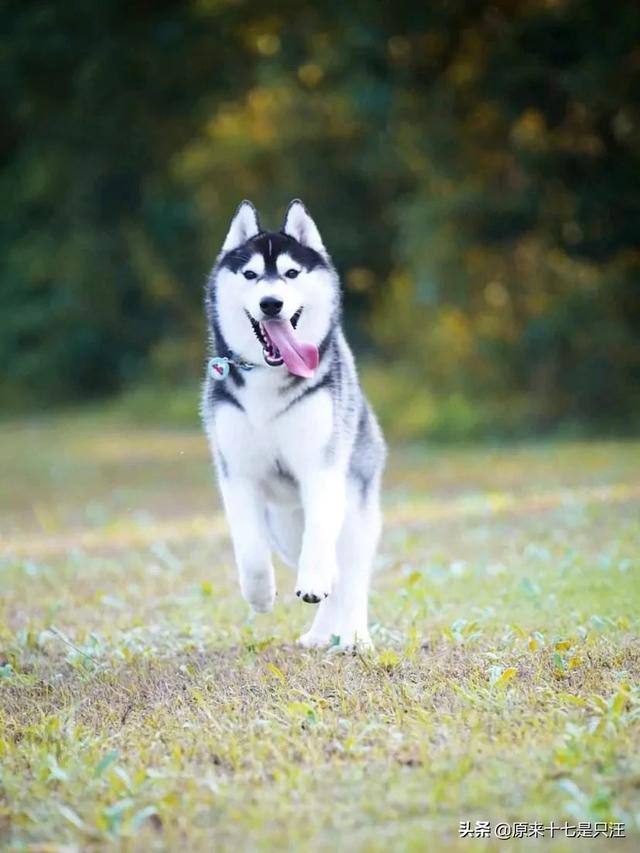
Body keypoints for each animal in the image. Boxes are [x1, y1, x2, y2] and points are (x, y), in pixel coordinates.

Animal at [202, 200, 384, 648]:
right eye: (251, 275)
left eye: (291, 273)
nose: (271, 304)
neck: (268, 380)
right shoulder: (237, 475)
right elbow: (249, 551)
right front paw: (260, 595)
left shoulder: (321, 468)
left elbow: (319, 539)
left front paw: (315, 582)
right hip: (283, 525)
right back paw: (322, 634)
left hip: (355, 507)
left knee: (351, 572)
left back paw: (353, 636)